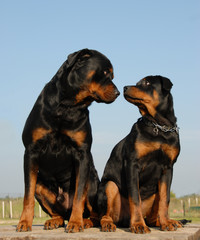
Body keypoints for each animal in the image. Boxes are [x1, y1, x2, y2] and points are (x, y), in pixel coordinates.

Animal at [16, 48, 119, 232]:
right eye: (105, 73)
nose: (118, 93)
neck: (67, 106)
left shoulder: (82, 153)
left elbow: (78, 196)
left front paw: (76, 223)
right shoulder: (31, 151)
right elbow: (28, 195)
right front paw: (24, 222)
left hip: (92, 182)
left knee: (97, 213)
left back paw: (94, 222)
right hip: (41, 186)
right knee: (56, 211)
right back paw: (54, 220)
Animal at [97, 75, 182, 232]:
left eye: (147, 82)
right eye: (138, 83)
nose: (124, 87)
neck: (159, 126)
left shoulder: (168, 167)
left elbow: (165, 198)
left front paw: (166, 222)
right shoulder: (133, 164)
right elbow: (135, 197)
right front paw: (138, 225)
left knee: (154, 215)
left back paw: (166, 221)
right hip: (110, 186)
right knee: (105, 214)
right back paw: (108, 224)